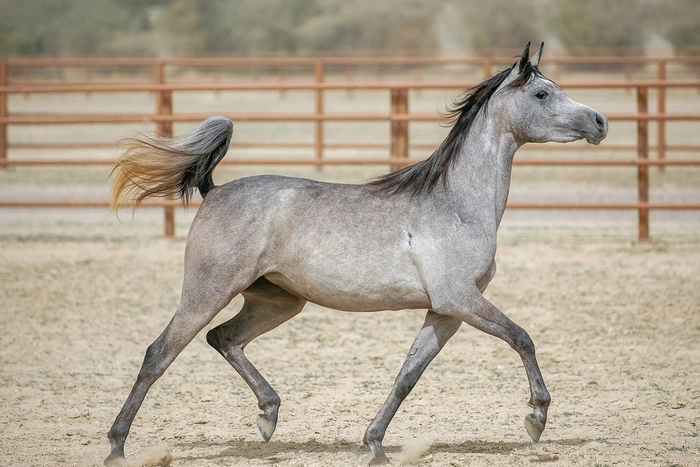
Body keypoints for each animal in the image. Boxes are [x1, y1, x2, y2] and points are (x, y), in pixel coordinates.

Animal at [105, 43, 608, 466]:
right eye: (543, 93)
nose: (600, 122)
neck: (456, 204)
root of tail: (215, 192)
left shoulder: (445, 311)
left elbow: (407, 376)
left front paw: (375, 444)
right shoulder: (461, 299)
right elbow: (522, 337)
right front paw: (536, 418)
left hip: (277, 301)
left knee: (223, 338)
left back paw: (268, 416)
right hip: (207, 292)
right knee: (159, 354)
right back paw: (116, 446)